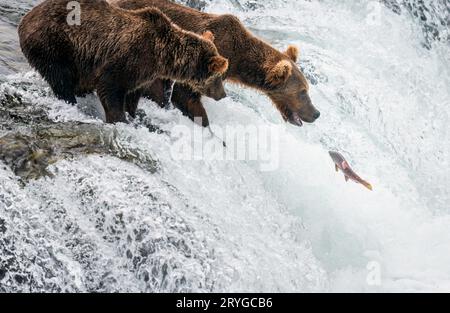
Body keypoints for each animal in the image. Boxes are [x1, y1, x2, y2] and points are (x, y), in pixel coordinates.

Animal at [17, 0, 229, 123]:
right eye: (219, 76)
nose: (223, 94)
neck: (163, 56)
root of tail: (26, 17)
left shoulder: (143, 74)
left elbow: (132, 95)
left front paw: (132, 116)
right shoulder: (129, 58)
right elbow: (110, 88)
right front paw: (119, 119)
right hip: (54, 43)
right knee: (61, 78)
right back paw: (70, 101)